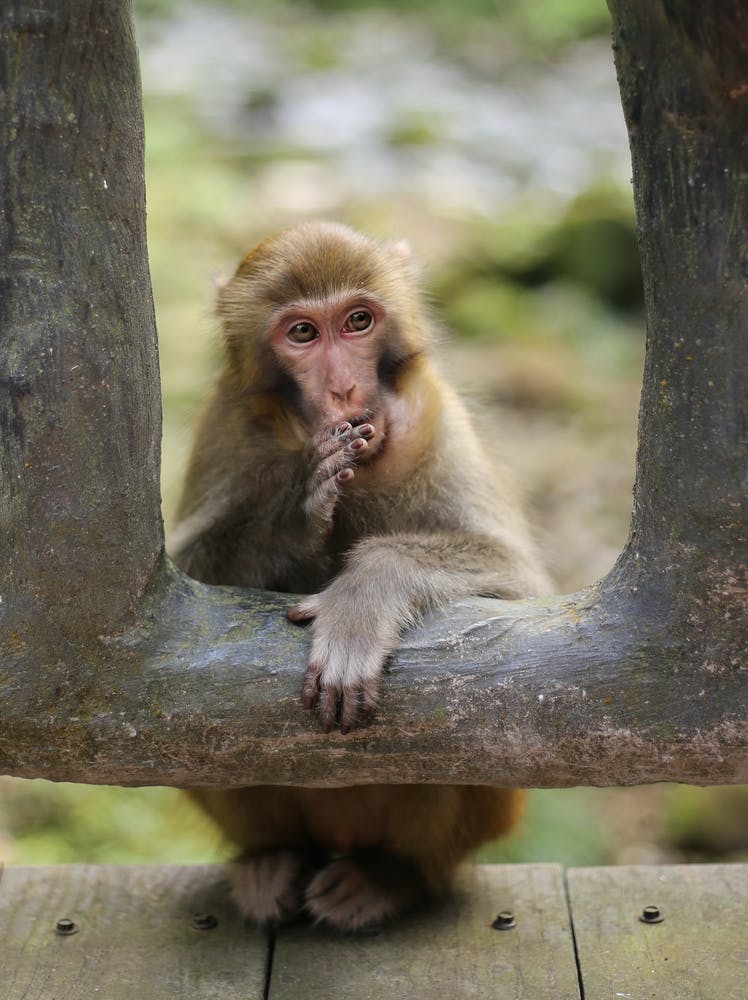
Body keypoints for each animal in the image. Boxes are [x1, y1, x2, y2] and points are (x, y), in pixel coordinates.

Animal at [170, 221, 551, 932]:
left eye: (357, 321)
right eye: (302, 333)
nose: (344, 391)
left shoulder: (437, 414)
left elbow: (522, 589)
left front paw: (362, 601)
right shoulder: (228, 424)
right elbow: (177, 588)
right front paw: (299, 516)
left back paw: (393, 877)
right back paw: (271, 861)